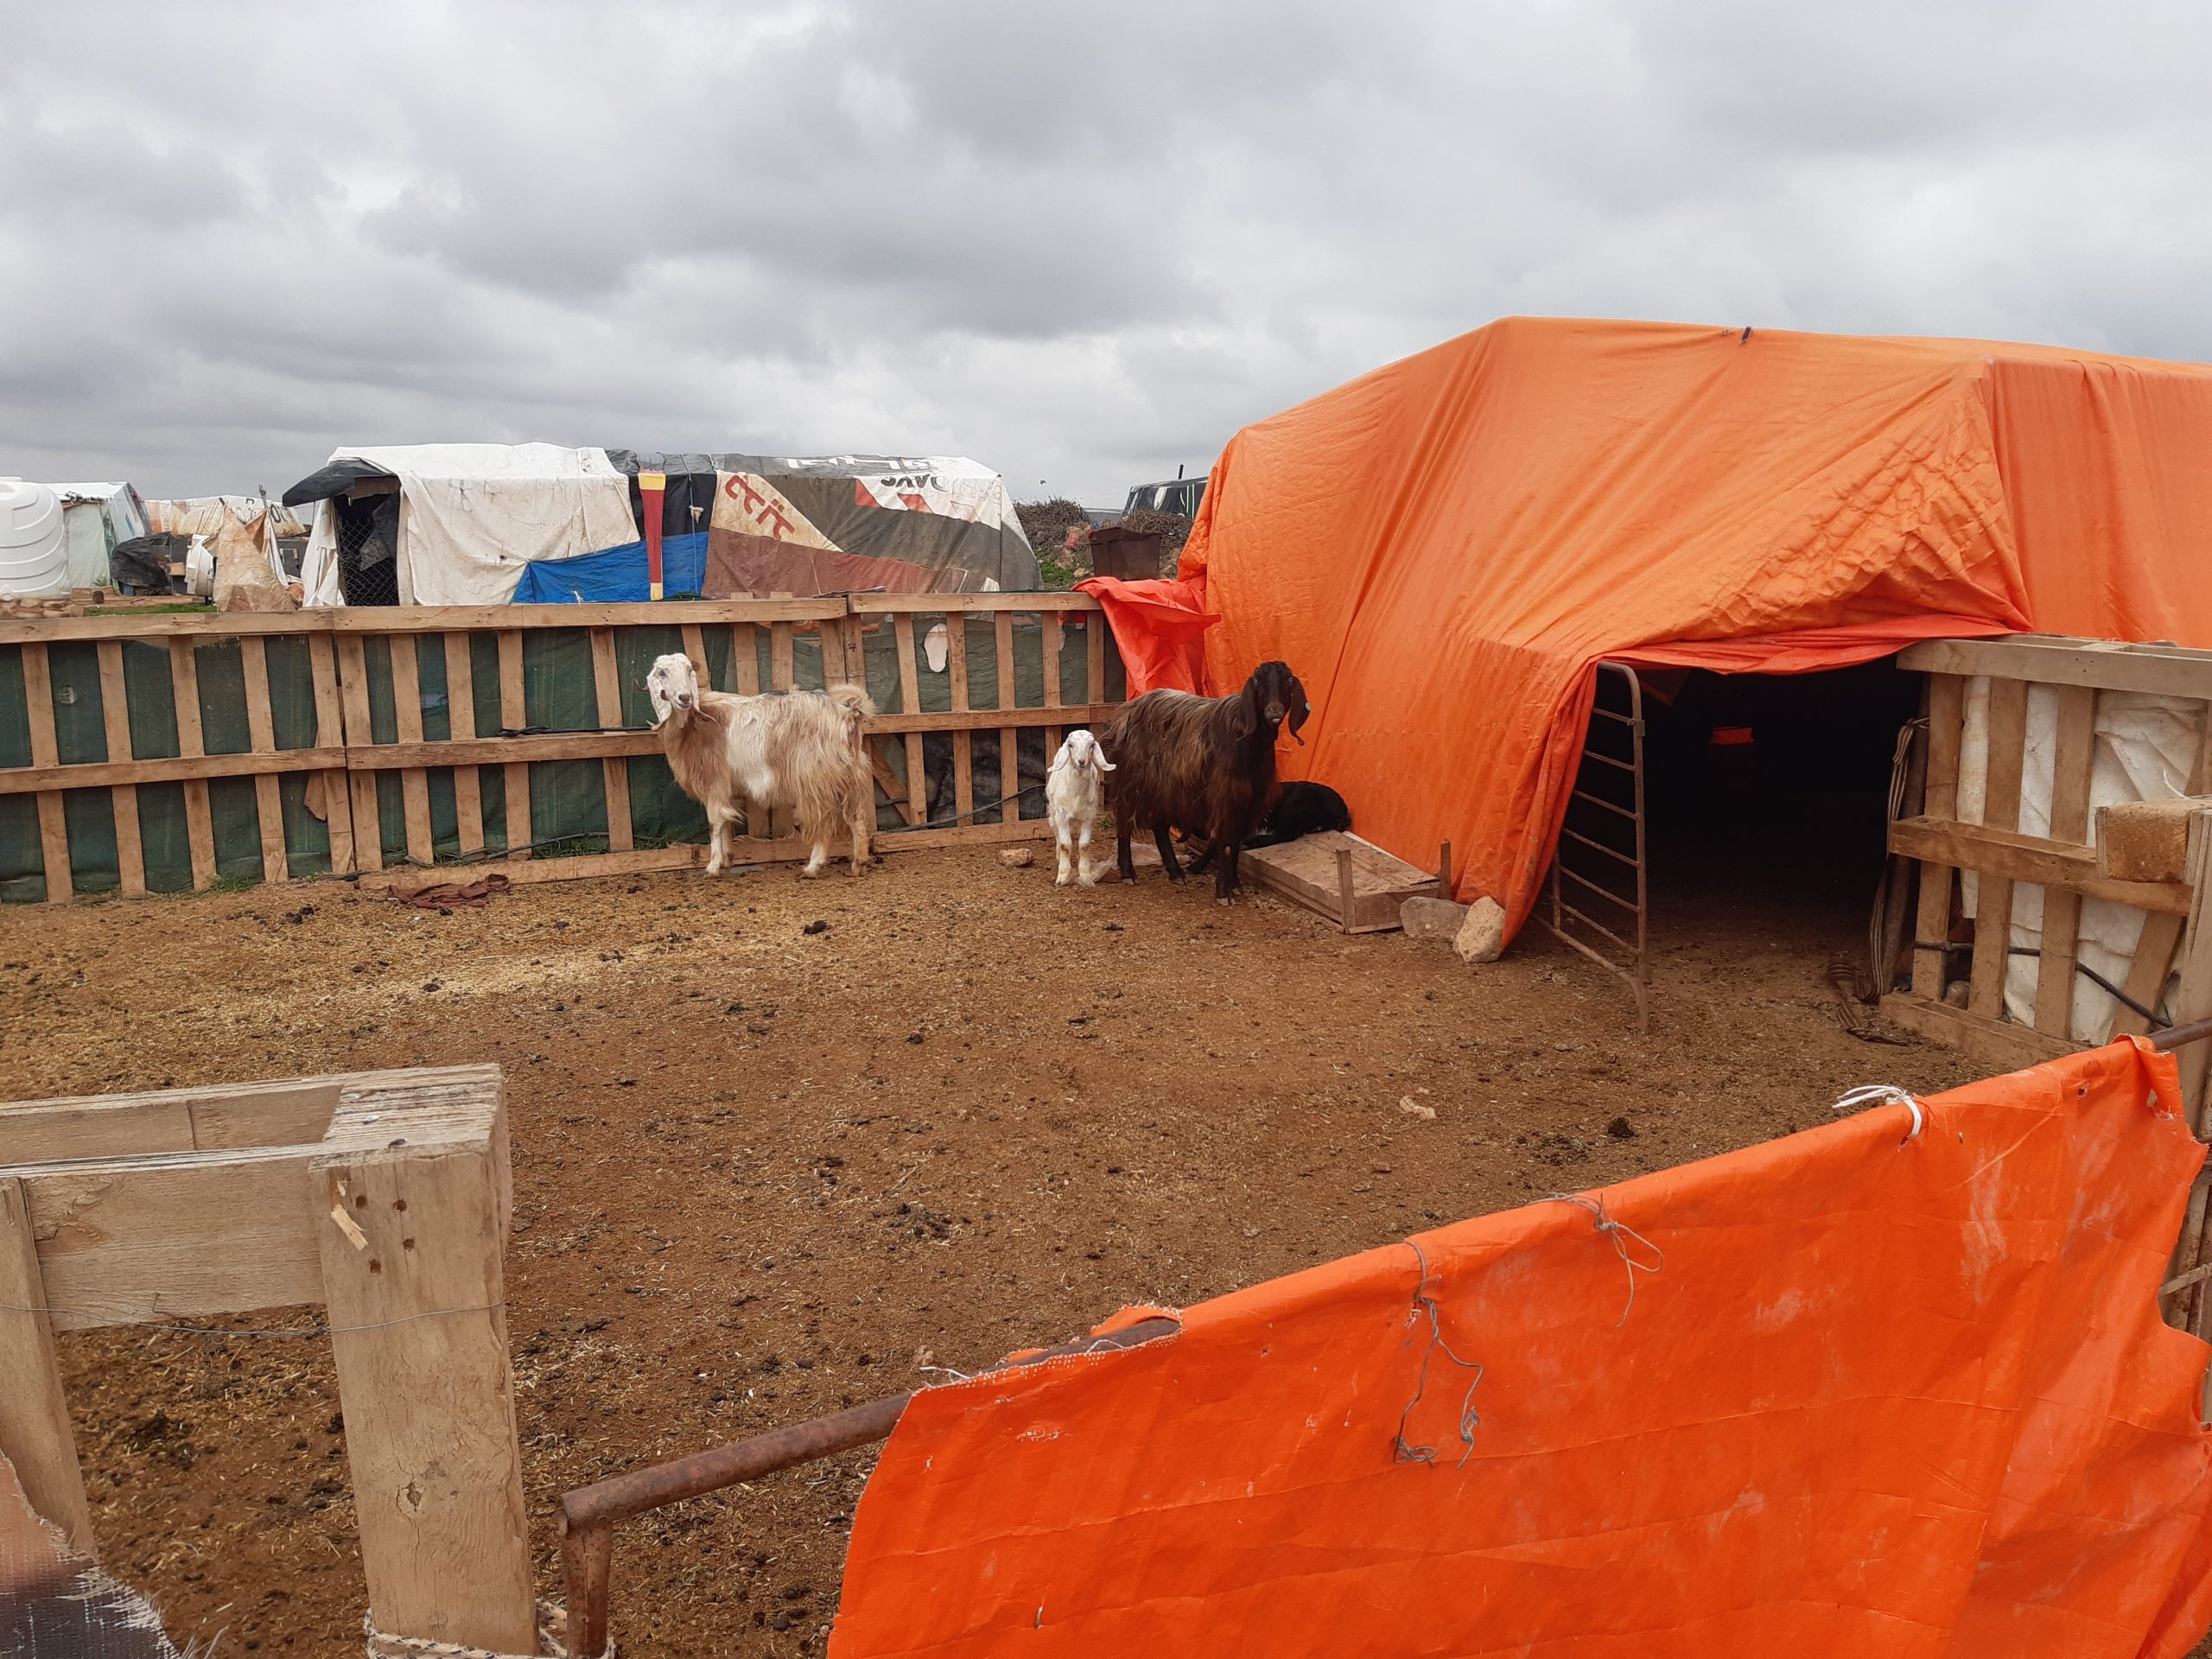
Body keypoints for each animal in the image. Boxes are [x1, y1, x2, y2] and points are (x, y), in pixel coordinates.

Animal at [1096, 658, 1300, 902]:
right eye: (1257, 681)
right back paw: (1128, 872)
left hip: (1167, 790)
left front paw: (1235, 884)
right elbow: (1226, 844)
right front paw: (1224, 892)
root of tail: (1125, 713)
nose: (1274, 711)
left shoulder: (1251, 802)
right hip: (1134, 784)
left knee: (1159, 827)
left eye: (1288, 680)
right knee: (1125, 823)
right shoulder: (1225, 798)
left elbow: (1236, 842)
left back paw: (1175, 872)